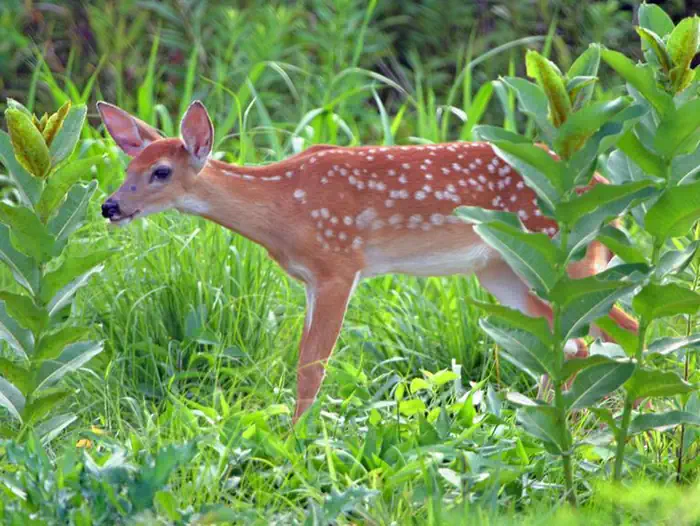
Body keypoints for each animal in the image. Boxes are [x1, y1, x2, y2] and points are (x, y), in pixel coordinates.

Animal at [97, 100, 638, 422]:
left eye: (161, 171)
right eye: (128, 166)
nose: (110, 206)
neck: (284, 209)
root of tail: (606, 191)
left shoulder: (339, 265)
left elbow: (312, 366)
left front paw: (297, 441)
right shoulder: (310, 279)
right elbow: (305, 362)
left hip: (564, 260)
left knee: (619, 330)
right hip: (502, 269)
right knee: (568, 341)